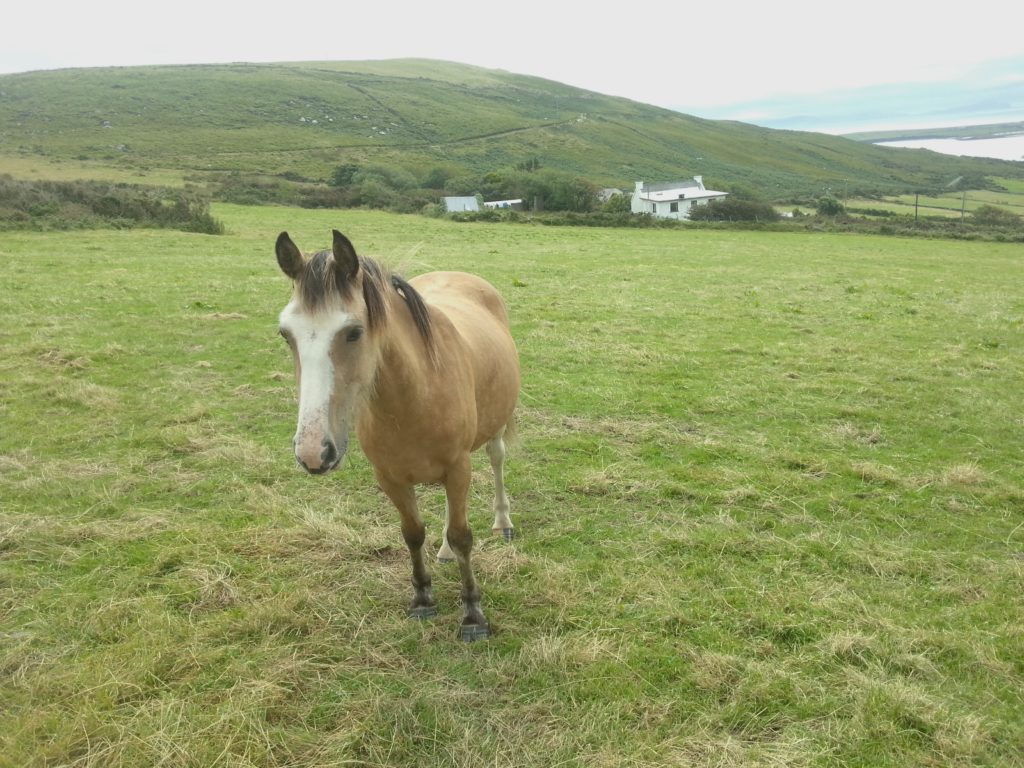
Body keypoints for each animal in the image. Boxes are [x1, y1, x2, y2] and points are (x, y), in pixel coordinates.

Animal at [274, 228, 520, 643]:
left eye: (354, 332)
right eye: (285, 334)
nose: (313, 452)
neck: (416, 393)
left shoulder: (458, 466)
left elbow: (463, 535)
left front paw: (473, 615)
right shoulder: (390, 477)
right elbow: (413, 533)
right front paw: (422, 598)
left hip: (494, 431)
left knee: (498, 459)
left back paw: (503, 522)